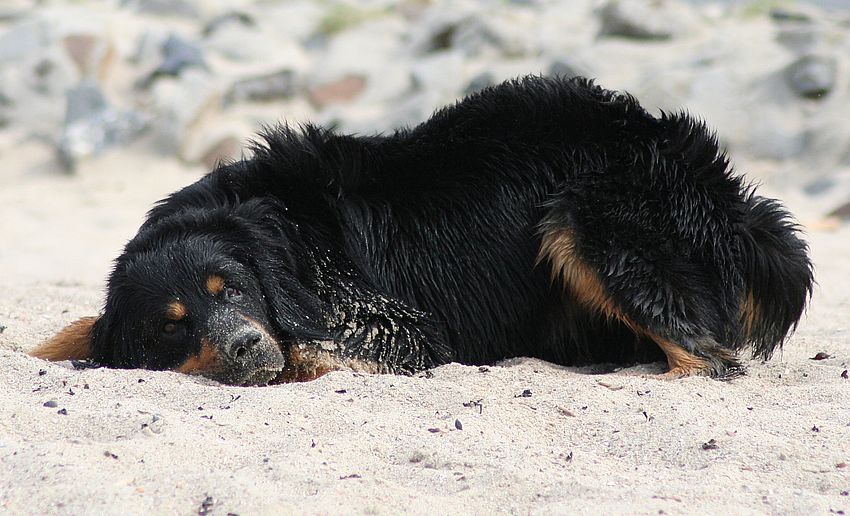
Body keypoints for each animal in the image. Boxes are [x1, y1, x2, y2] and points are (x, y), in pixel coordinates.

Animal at [31, 76, 813, 386]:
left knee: (706, 356)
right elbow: (74, 329)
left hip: (584, 216)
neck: (278, 235)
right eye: (171, 325)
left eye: (236, 289)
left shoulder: (391, 323)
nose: (244, 346)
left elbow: (315, 348)